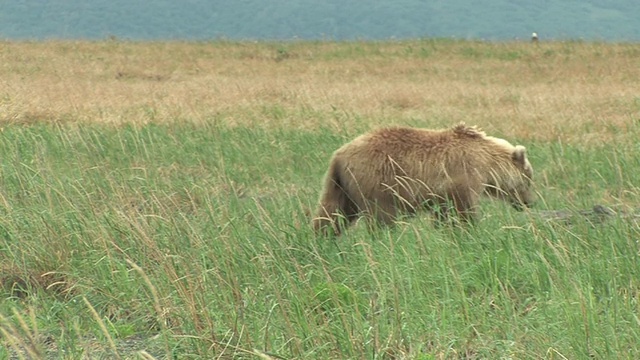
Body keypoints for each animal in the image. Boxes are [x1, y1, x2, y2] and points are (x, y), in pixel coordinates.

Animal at [312, 123, 532, 236]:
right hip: (378, 182)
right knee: (383, 217)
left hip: (341, 185)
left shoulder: (442, 193)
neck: (487, 163)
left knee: (333, 213)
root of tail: (339, 155)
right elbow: (463, 210)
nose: (529, 202)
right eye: (529, 179)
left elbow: (444, 214)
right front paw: (468, 230)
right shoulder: (464, 175)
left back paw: (322, 238)